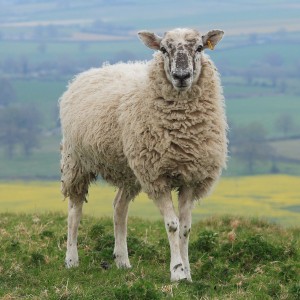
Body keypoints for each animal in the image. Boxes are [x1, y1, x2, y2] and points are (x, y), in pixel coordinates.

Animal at [59, 27, 227, 282]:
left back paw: (122, 261)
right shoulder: (157, 177)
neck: (183, 128)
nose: (181, 76)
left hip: (130, 172)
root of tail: (94, 70)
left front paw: (188, 273)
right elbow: (172, 225)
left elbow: (185, 228)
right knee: (74, 211)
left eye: (199, 48)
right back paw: (71, 259)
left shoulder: (190, 177)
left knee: (119, 208)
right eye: (163, 49)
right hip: (76, 160)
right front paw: (177, 272)